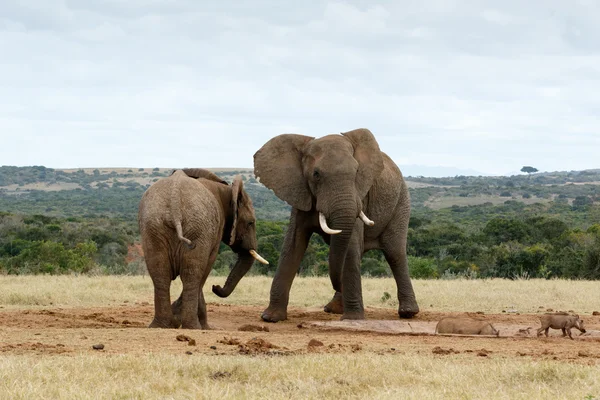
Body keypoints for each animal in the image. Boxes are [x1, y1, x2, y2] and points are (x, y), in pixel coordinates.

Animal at [138, 169, 268, 328]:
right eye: (251, 223)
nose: (216, 287)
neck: (227, 190)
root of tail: (174, 203)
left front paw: (175, 319)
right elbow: (206, 268)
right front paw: (203, 326)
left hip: (153, 227)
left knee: (160, 273)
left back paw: (160, 325)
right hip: (197, 228)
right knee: (192, 275)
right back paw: (193, 327)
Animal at [255, 128, 420, 322]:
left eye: (357, 171)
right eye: (316, 174)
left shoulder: (359, 197)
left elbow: (350, 247)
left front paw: (353, 319)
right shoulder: (300, 193)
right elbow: (293, 246)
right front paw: (270, 318)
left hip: (401, 201)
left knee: (394, 253)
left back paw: (408, 313)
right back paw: (334, 309)